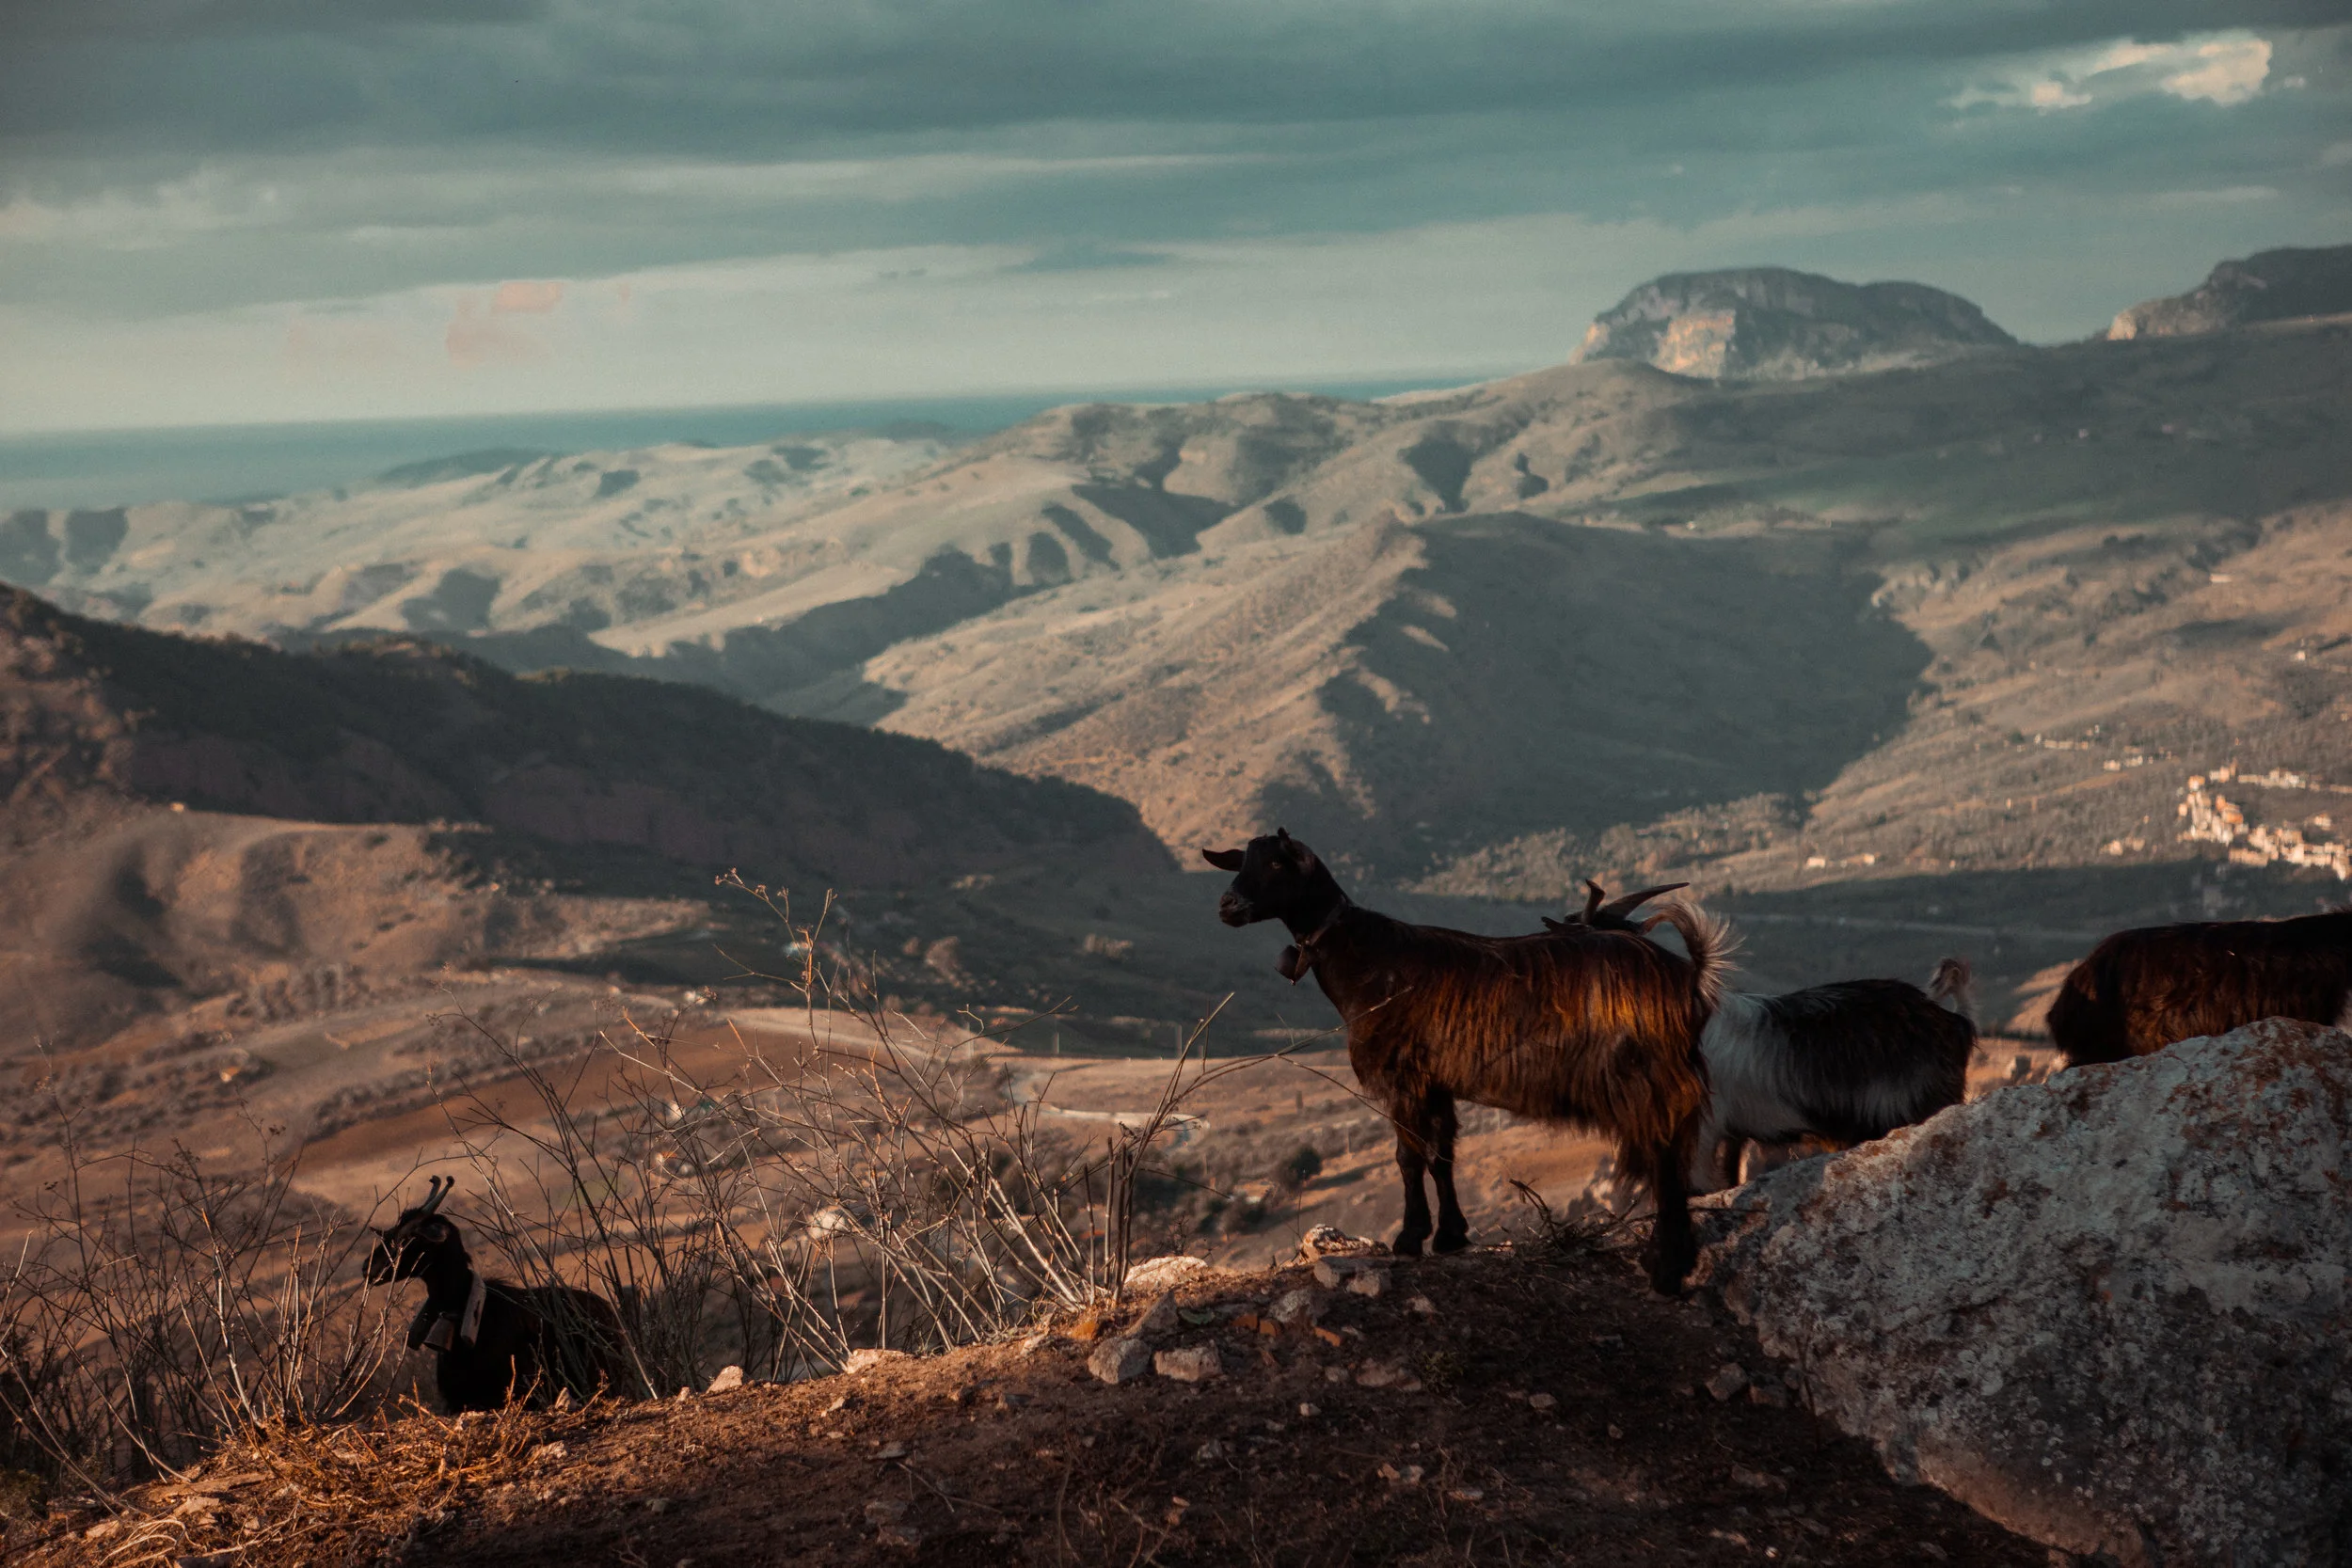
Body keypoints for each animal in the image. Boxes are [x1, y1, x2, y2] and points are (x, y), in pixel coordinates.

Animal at [1202, 830, 1727, 1293]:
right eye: (1241, 861)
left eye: (1275, 863)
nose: (1226, 907)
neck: (1368, 960)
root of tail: (1689, 978)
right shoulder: (1436, 1081)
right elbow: (1442, 1155)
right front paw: (1451, 1235)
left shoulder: (1403, 1076)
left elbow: (1408, 1155)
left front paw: (1410, 1237)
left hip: (1642, 1080)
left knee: (1663, 1161)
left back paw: (1666, 1269)